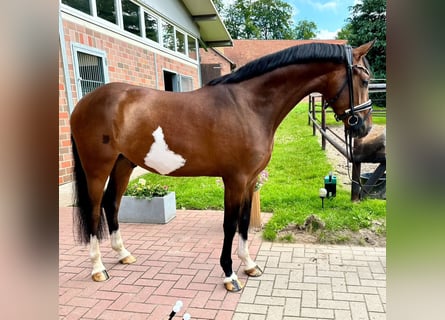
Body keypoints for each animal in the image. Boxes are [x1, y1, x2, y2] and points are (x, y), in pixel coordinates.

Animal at [70, 40, 374, 292]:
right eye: (364, 80)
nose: (365, 127)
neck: (249, 106)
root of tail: (83, 103)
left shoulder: (250, 180)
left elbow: (243, 222)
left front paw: (249, 265)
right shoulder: (235, 180)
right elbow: (229, 225)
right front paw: (230, 275)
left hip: (124, 164)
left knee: (112, 204)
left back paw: (123, 255)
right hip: (97, 168)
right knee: (95, 210)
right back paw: (98, 269)